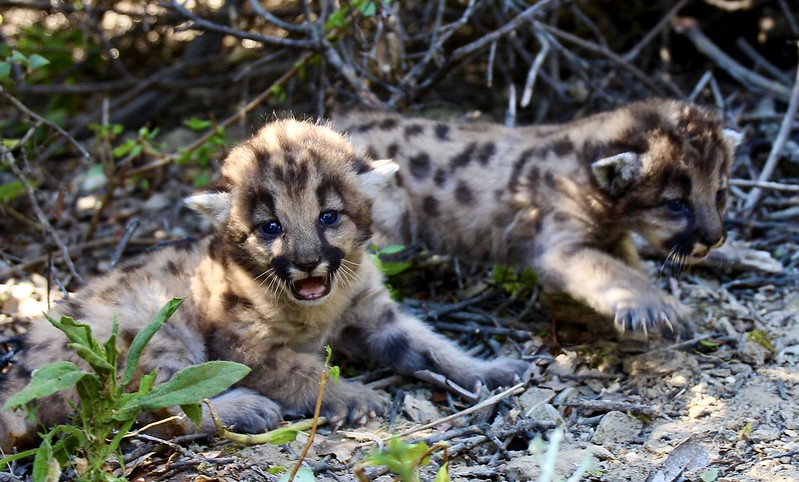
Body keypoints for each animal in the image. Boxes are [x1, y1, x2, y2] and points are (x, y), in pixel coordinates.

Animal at [0, 118, 532, 450]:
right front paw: (356, 397)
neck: (320, 307)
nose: (307, 262)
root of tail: (16, 378)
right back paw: (249, 409)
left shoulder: (374, 314)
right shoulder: (244, 350)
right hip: (147, 327)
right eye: (270, 227)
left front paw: (491, 370)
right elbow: (304, 371)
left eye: (328, 217)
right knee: (150, 408)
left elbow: (430, 344)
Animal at [334, 100, 740, 338]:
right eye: (676, 205)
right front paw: (656, 306)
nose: (715, 238)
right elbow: (614, 274)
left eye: (719, 194)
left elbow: (628, 266)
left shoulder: (609, 237)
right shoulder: (560, 247)